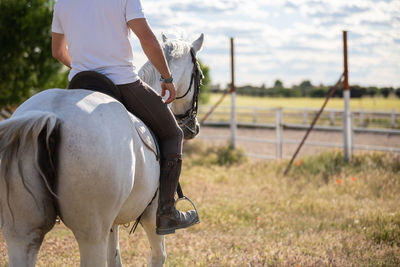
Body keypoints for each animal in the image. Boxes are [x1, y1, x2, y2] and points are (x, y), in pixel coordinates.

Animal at [0, 34, 205, 266]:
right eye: (200, 76)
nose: (193, 127)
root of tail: (52, 116)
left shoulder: (112, 223)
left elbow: (114, 257)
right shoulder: (152, 217)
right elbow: (158, 256)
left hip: (21, 233)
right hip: (91, 234)